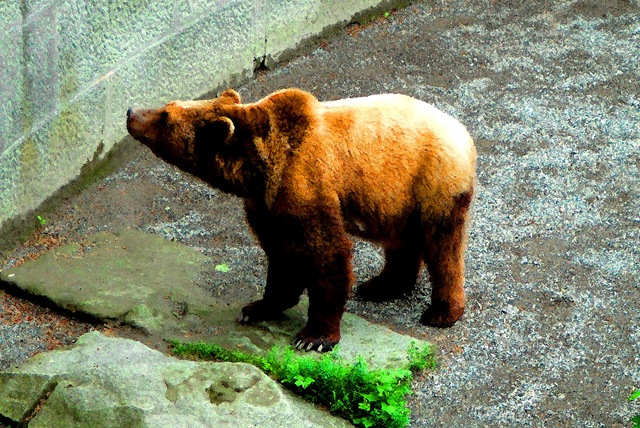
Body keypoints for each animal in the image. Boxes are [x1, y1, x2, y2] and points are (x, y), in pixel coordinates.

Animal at [126, 88, 476, 352]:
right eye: (168, 105)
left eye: (165, 116)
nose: (131, 111)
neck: (257, 169)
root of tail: (463, 133)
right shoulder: (266, 206)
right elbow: (280, 255)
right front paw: (257, 307)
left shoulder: (306, 184)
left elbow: (326, 255)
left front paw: (314, 337)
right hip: (394, 197)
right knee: (401, 240)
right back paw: (382, 285)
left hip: (431, 181)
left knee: (443, 247)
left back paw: (442, 312)